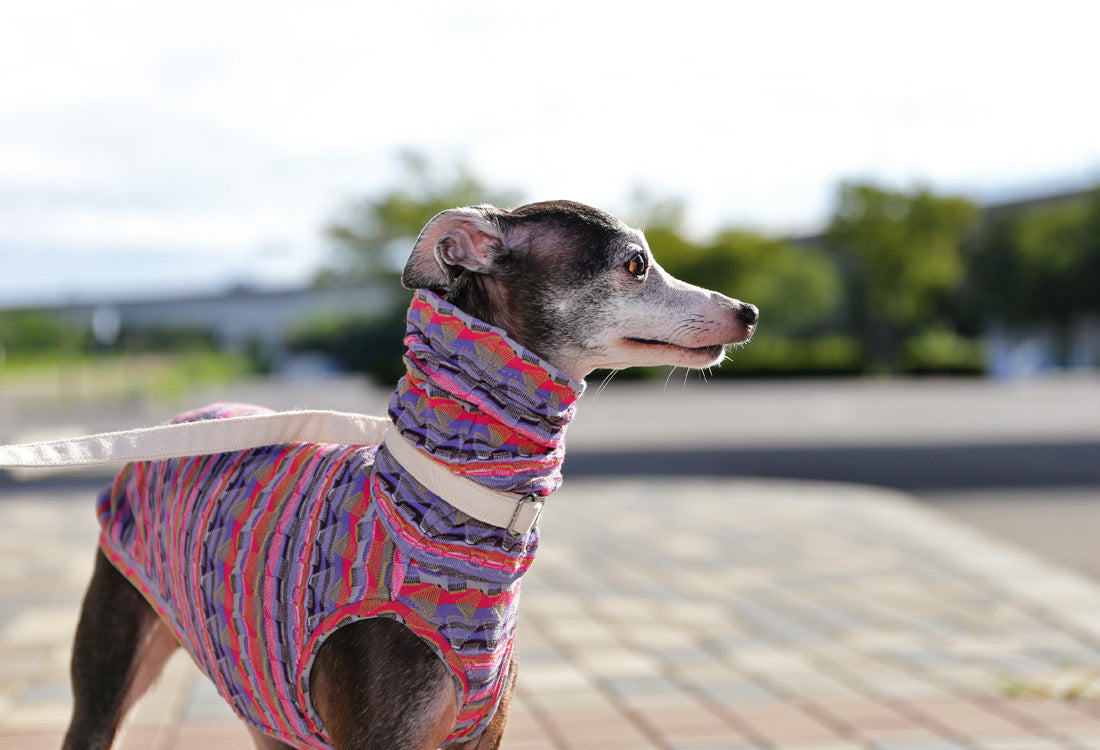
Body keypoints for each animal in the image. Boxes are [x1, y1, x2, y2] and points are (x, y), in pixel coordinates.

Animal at [62, 200, 756, 747]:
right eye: (635, 263)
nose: (748, 312)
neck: (443, 507)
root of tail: (188, 415)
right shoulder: (380, 734)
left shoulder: (479, 735)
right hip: (108, 673)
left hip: (264, 697)